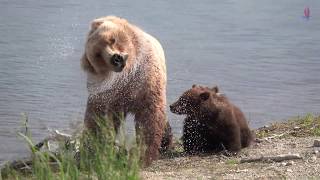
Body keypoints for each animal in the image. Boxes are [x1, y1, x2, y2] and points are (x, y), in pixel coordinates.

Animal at [80, 15, 170, 166]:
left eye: (112, 39)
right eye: (98, 54)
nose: (116, 58)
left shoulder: (145, 80)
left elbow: (149, 116)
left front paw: (145, 154)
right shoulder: (107, 94)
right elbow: (98, 118)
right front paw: (94, 147)